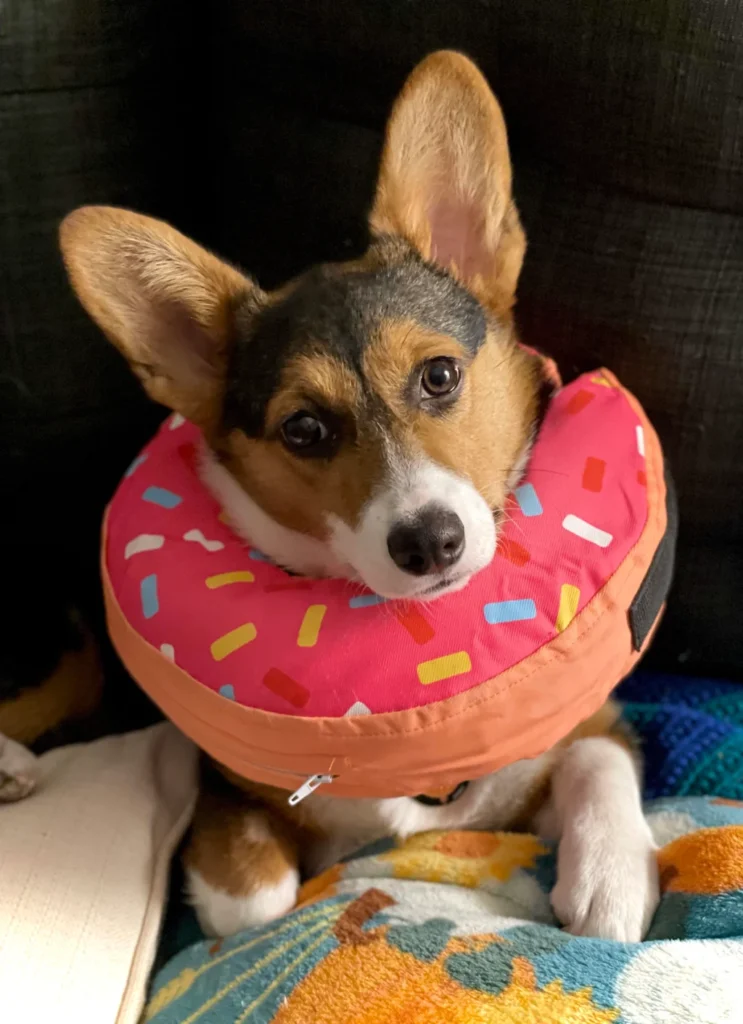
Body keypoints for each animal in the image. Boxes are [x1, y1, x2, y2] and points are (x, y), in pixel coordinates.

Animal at [61, 48, 659, 942]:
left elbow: (597, 756)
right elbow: (254, 898)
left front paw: (612, 877)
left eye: (439, 375)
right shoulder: (225, 789)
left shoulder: (572, 742)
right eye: (304, 428)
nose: (430, 543)